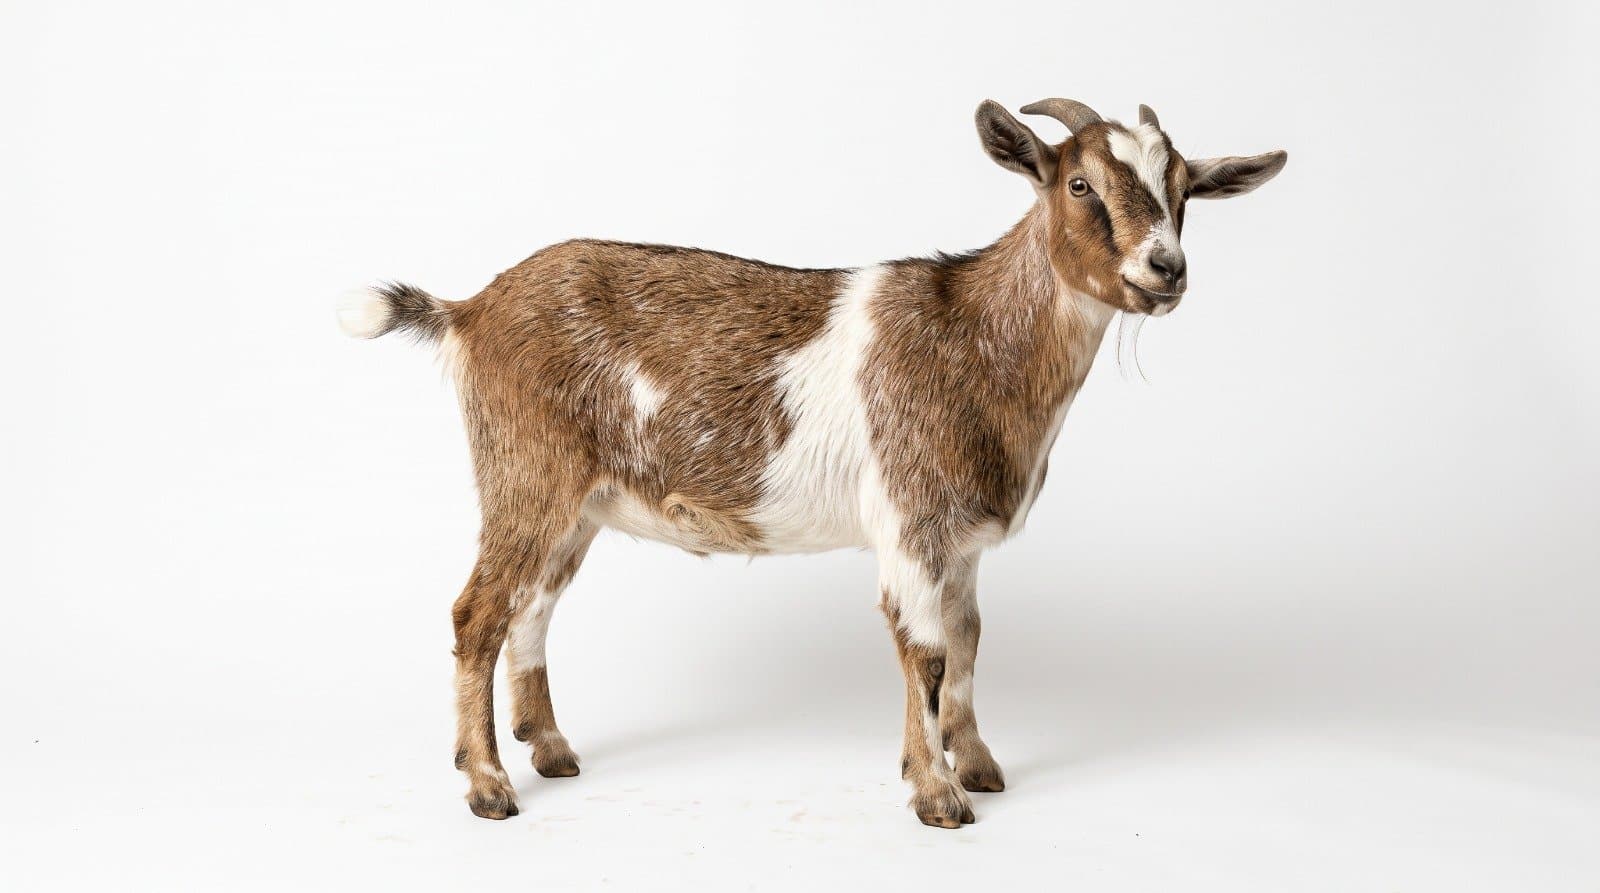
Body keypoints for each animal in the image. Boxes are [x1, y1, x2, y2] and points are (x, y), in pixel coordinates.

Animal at [340, 98, 1286, 828]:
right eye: (1080, 184)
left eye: (1185, 189)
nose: (1165, 268)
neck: (976, 340)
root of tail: (470, 308)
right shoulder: (910, 519)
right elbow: (926, 651)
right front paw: (937, 795)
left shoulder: (959, 541)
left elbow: (970, 639)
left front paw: (978, 762)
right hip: (525, 473)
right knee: (477, 614)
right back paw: (488, 785)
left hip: (576, 502)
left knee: (532, 608)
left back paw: (551, 749)